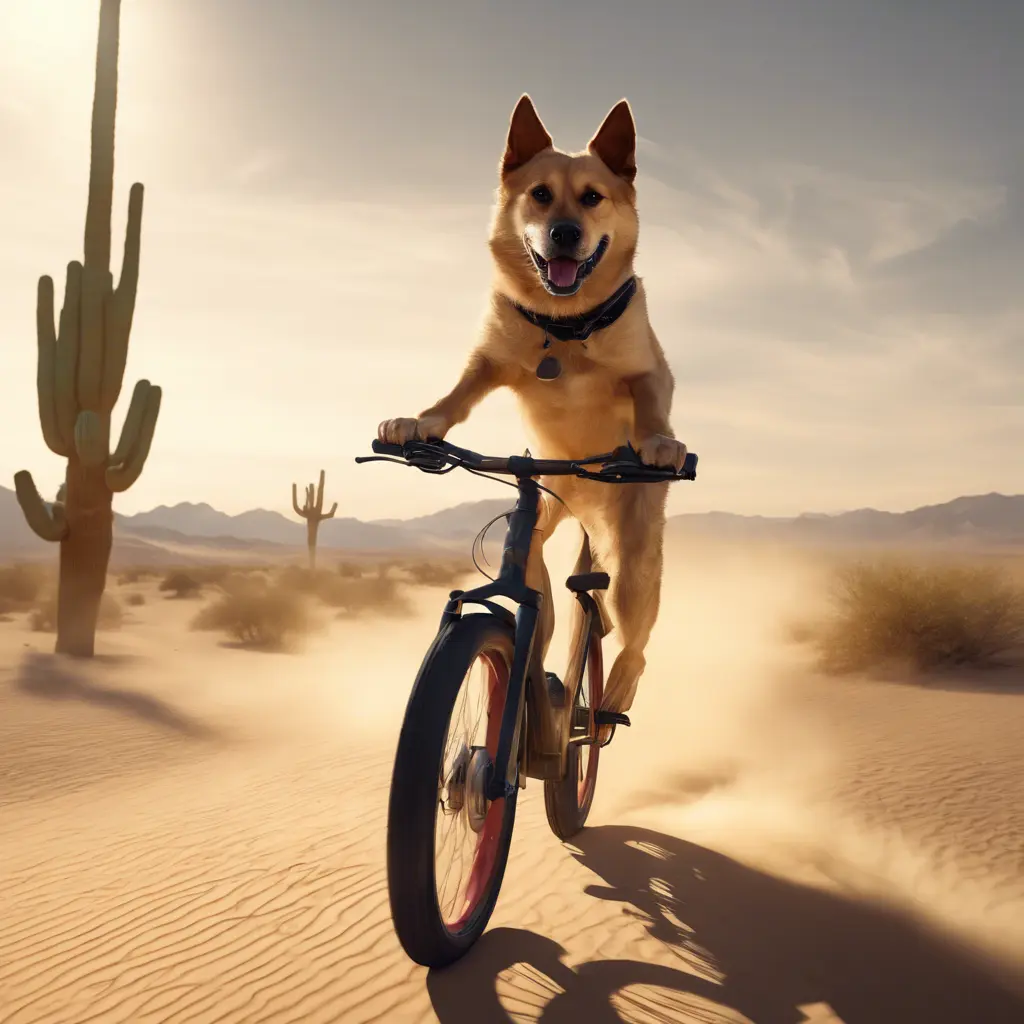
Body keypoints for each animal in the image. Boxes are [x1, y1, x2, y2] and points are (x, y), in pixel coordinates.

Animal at [378, 94, 688, 729]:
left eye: (593, 197)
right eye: (540, 194)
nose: (564, 232)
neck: (564, 326)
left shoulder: (648, 369)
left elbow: (648, 401)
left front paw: (657, 441)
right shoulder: (491, 359)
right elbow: (459, 391)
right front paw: (421, 421)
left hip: (635, 561)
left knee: (633, 639)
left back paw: (612, 696)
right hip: (545, 518)